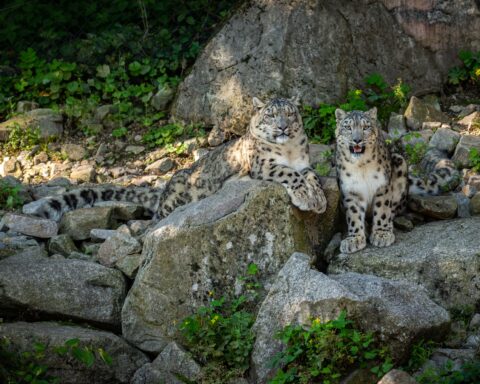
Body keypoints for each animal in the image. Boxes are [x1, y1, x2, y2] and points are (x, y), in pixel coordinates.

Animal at [24, 97, 328, 222]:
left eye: (289, 114)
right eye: (271, 116)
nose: (282, 128)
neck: (289, 150)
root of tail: (166, 187)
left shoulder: (305, 162)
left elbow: (310, 175)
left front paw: (319, 199)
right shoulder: (262, 164)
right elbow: (290, 174)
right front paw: (307, 197)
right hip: (174, 201)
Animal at [332, 106, 460, 254]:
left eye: (366, 127)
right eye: (348, 127)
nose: (357, 140)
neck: (361, 166)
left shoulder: (382, 186)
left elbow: (382, 209)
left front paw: (382, 234)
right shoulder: (351, 191)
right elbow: (353, 215)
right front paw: (354, 239)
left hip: (400, 163)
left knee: (396, 208)